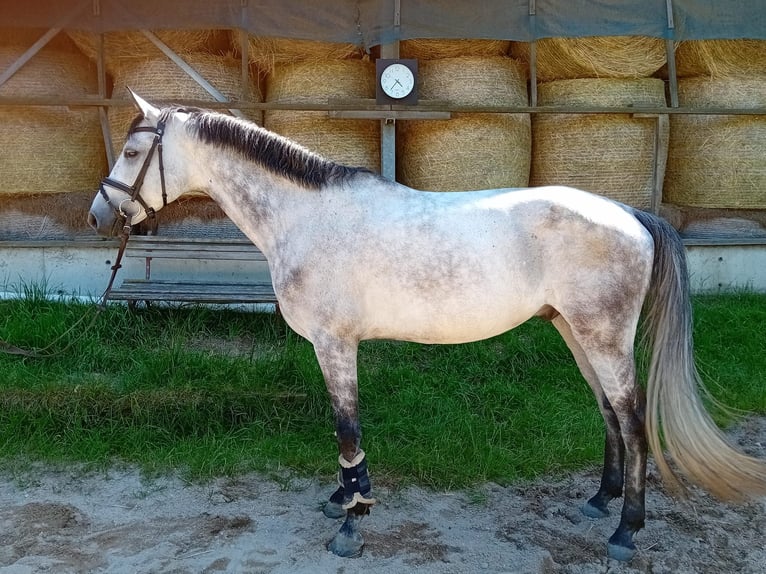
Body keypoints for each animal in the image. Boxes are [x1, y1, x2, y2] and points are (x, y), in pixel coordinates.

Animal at [88, 91, 766, 561]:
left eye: (132, 152)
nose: (98, 215)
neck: (305, 217)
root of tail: (628, 212)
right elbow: (344, 432)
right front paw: (345, 498)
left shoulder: (335, 345)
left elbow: (347, 427)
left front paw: (352, 521)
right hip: (575, 333)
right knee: (608, 414)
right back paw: (599, 503)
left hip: (603, 338)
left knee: (631, 418)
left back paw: (626, 532)